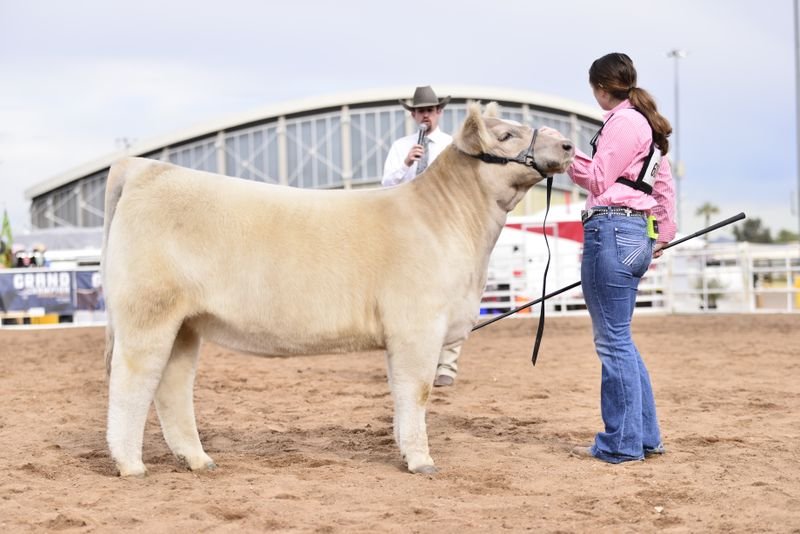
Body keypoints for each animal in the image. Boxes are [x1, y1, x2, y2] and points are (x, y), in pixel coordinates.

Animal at [103, 102, 575, 477]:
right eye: (506, 135)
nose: (569, 146)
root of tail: (143, 167)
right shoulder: (418, 326)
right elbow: (417, 390)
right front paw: (421, 461)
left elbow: (401, 393)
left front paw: (404, 449)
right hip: (147, 312)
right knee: (131, 381)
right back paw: (131, 465)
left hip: (185, 322)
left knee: (172, 385)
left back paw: (198, 459)